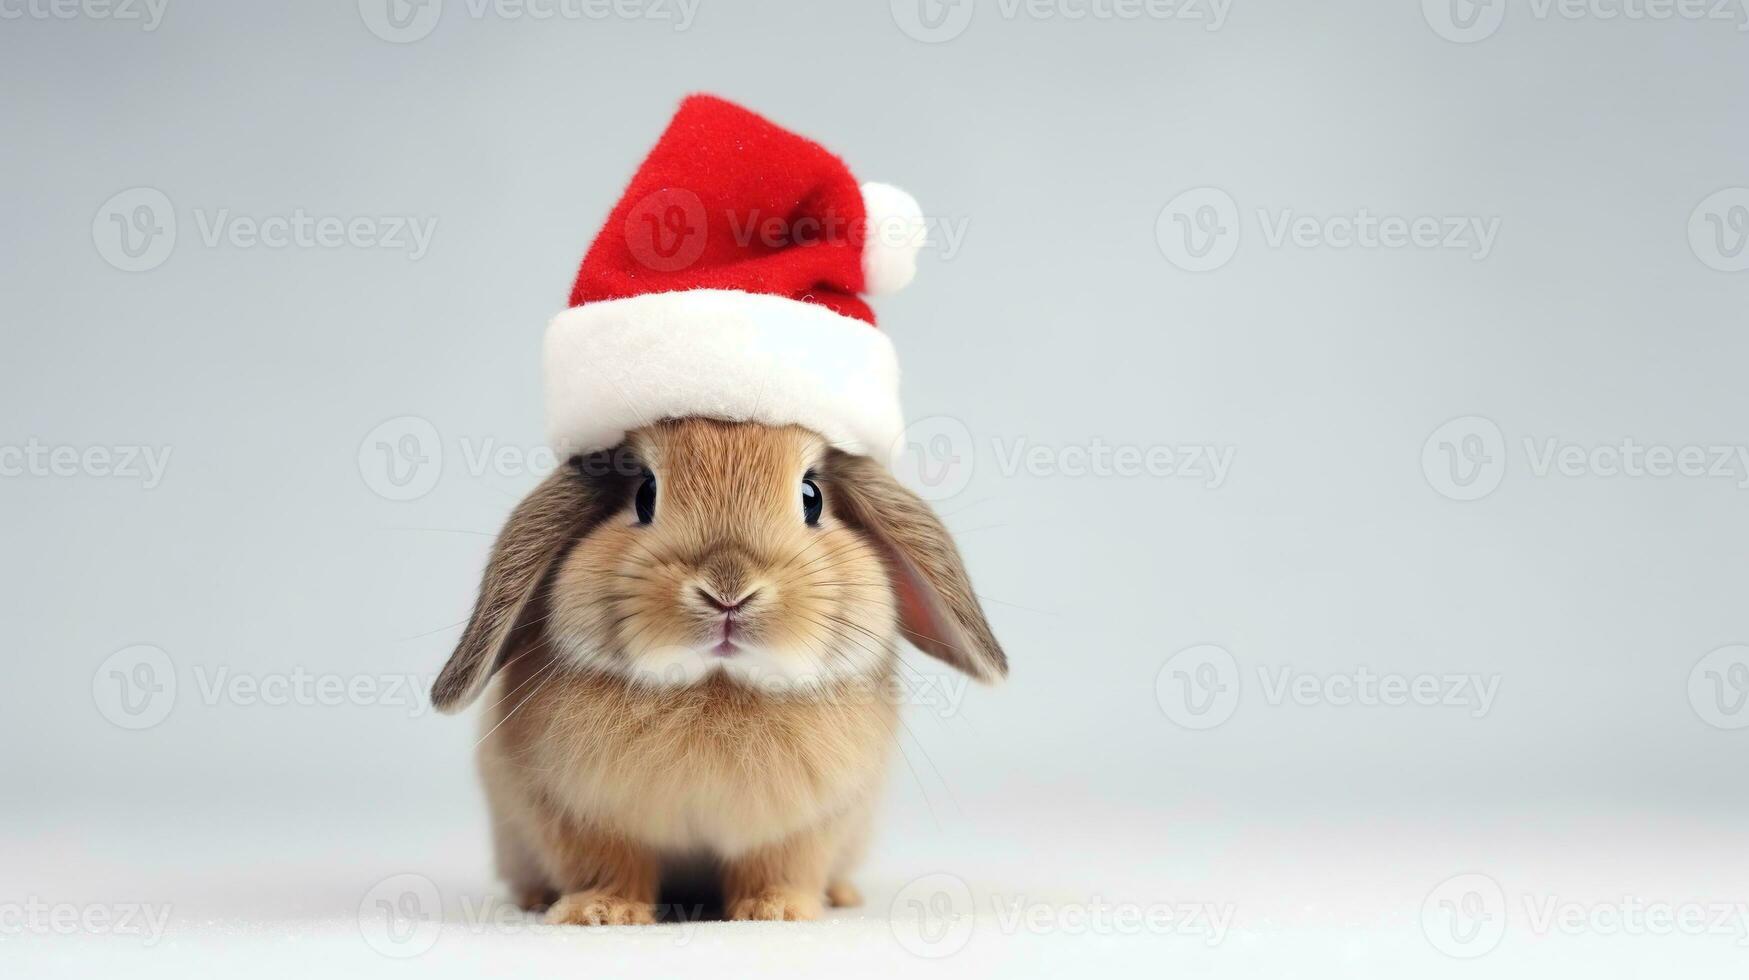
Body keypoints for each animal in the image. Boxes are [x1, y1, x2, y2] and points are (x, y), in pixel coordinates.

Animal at [428, 416, 1007, 924]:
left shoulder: (799, 829)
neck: (717, 686)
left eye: (812, 498)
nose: (728, 588)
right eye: (644, 494)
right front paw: (601, 913)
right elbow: (608, 867)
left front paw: (777, 911)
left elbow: (777, 868)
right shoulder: (578, 817)